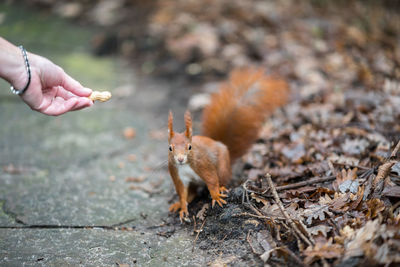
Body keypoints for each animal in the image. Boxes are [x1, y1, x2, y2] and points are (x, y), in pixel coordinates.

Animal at [168, 67, 288, 222]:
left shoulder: (204, 165)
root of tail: (220, 144)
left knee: (222, 179)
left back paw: (222, 189)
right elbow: (182, 193)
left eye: (189, 147)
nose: (180, 159)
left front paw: (216, 196)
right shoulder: (177, 174)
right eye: (170, 148)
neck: (186, 165)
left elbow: (212, 180)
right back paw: (178, 204)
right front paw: (182, 207)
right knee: (192, 193)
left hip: (223, 167)